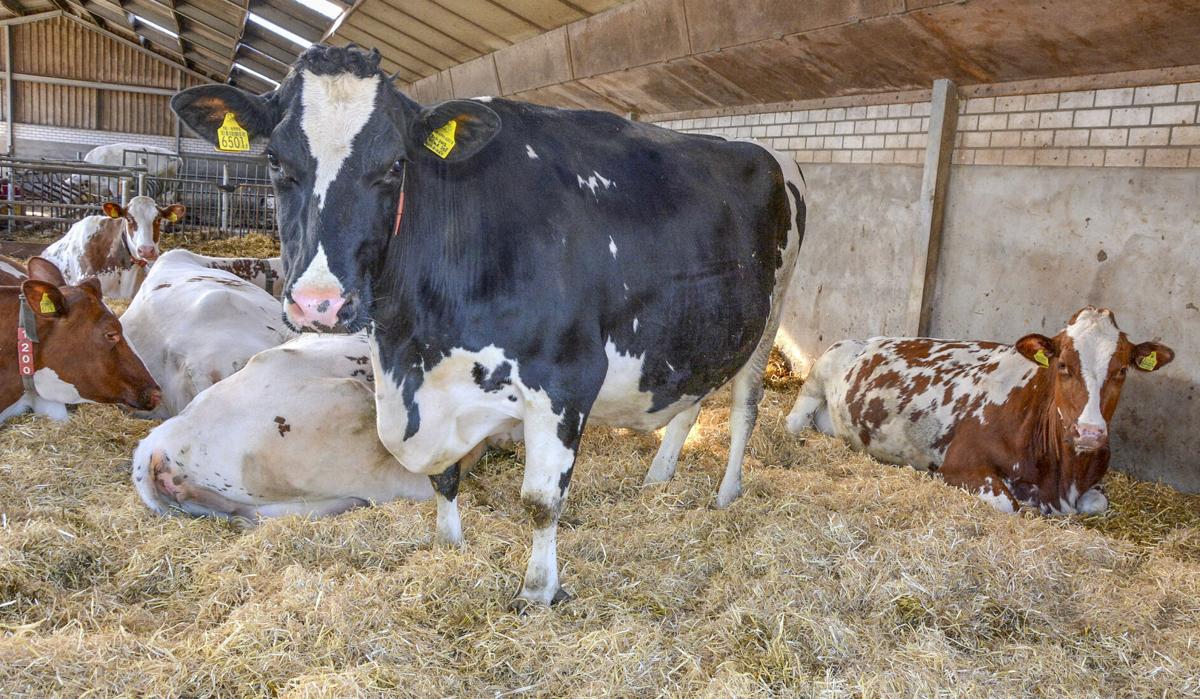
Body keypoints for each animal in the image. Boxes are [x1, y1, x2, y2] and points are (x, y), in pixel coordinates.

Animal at [172, 45, 806, 608]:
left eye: (394, 166)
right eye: (275, 162)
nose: (319, 304)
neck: (414, 344)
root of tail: (764, 152)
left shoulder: (566, 377)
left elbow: (542, 501)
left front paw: (538, 591)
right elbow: (444, 479)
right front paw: (448, 546)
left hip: (770, 315)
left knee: (744, 407)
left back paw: (726, 494)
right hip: (698, 330)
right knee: (690, 399)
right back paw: (658, 477)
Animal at [786, 307, 1174, 515]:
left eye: (1121, 370)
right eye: (1063, 364)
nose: (1090, 433)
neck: (1061, 479)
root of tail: (868, 338)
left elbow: (1098, 503)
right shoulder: (961, 464)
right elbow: (1010, 504)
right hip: (820, 371)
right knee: (794, 420)